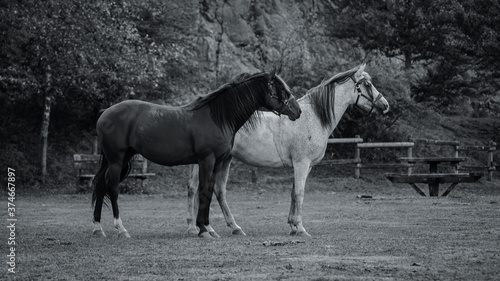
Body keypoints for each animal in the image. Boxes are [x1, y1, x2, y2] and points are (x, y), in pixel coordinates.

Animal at [91, 69, 300, 236]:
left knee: (100, 184)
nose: (297, 111)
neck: (217, 117)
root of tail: (105, 113)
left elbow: (208, 192)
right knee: (113, 188)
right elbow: (203, 191)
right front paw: (203, 229)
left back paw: (98, 228)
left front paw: (208, 228)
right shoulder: (206, 160)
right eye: (282, 90)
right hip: (116, 160)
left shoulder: (216, 162)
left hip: (117, 159)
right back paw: (121, 229)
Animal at [186, 64, 388, 236]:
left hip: (218, 160)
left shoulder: (306, 166)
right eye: (368, 84)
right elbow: (299, 193)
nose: (385, 105)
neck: (312, 118)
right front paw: (300, 228)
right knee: (205, 189)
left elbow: (293, 193)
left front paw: (292, 225)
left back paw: (215, 227)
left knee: (205, 189)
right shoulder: (301, 164)